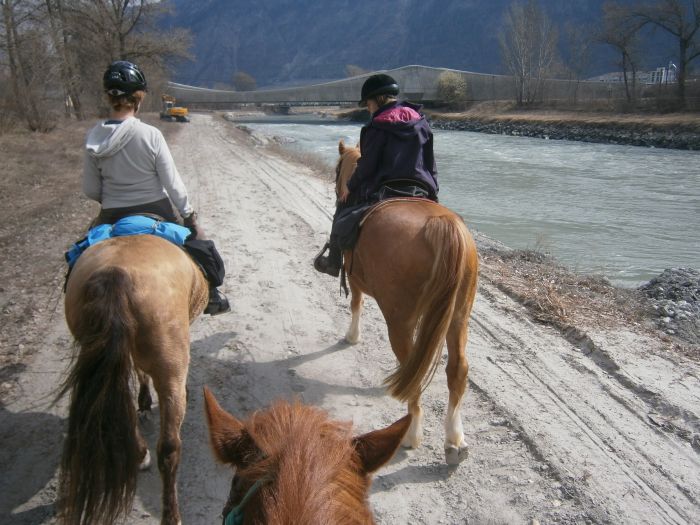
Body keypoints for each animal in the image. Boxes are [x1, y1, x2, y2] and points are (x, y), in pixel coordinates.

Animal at [56, 234, 211, 524]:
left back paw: (140, 453)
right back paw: (171, 514)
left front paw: (144, 402)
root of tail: (115, 274)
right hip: (169, 364)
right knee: (169, 448)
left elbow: (140, 373)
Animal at [332, 139, 476, 462]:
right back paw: (455, 439)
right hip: (458, 318)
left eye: (336, 170)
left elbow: (356, 304)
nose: (339, 193)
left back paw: (411, 434)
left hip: (400, 321)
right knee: (457, 370)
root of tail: (442, 224)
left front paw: (352, 336)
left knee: (414, 373)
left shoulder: (355, 279)